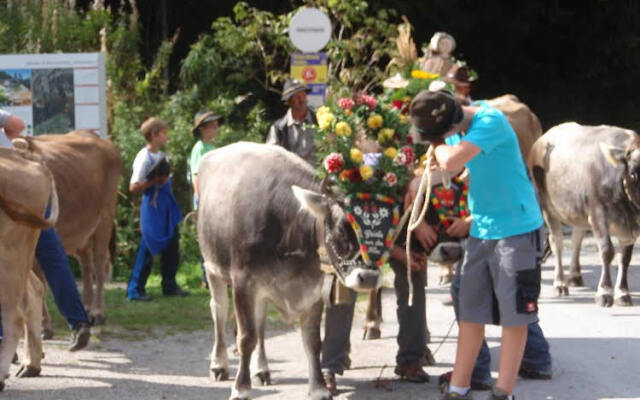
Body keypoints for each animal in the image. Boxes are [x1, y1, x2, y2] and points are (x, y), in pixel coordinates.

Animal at [13, 131, 123, 324]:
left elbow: (39, 278)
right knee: (86, 264)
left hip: (105, 218)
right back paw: (86, 308)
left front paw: (43, 322)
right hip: (82, 230)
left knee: (99, 262)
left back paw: (97, 312)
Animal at [198, 142, 382, 398]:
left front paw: (318, 387)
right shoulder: (243, 281)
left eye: (376, 228)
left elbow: (312, 341)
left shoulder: (313, 287)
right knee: (219, 310)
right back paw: (219, 365)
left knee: (261, 321)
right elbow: (246, 337)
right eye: (340, 229)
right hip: (212, 267)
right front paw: (241, 388)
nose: (369, 277)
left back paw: (262, 369)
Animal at [528, 122, 636, 306]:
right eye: (634, 171)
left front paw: (623, 293)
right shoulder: (598, 214)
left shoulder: (631, 225)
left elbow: (625, 258)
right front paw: (604, 293)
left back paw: (575, 276)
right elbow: (607, 251)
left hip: (577, 211)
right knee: (557, 241)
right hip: (547, 206)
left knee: (576, 237)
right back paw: (560, 283)